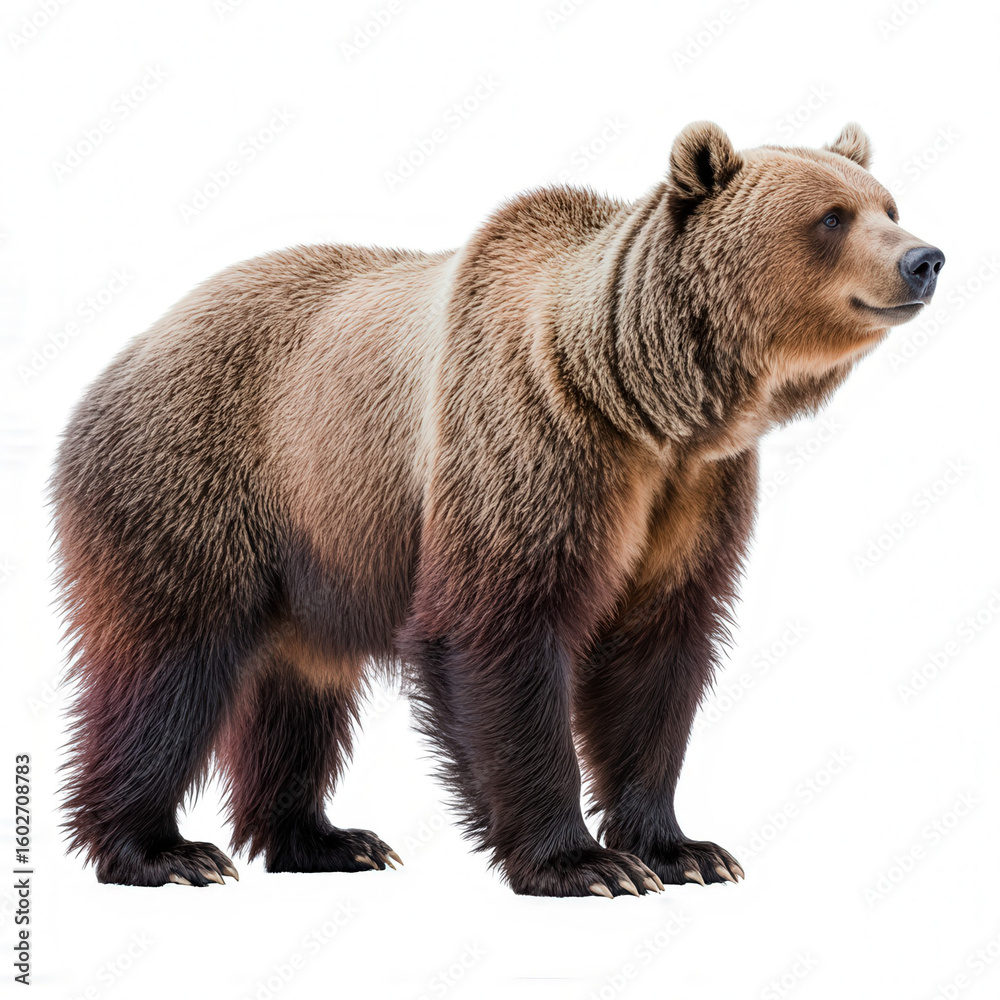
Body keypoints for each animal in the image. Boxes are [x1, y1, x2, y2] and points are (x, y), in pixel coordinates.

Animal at [52, 121, 943, 896]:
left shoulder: (693, 494)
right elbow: (501, 631)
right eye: (832, 216)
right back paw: (162, 850)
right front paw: (584, 863)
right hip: (200, 478)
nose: (925, 258)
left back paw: (326, 838)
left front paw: (683, 849)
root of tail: (125, 354)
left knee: (301, 685)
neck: (643, 402)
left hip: (316, 542)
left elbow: (657, 654)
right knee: (170, 663)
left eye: (889, 204)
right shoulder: (529, 439)